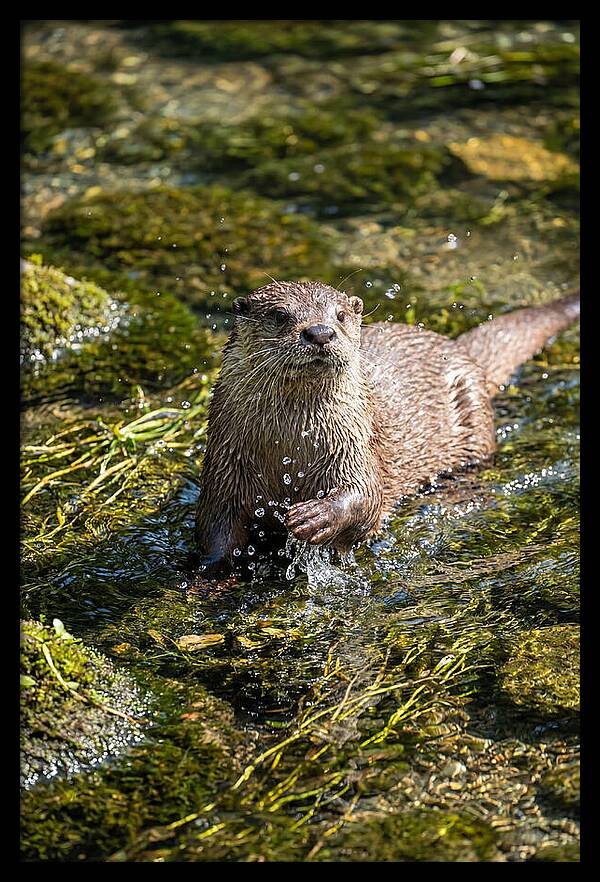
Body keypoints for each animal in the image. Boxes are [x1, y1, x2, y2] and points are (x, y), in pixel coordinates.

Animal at [194, 281, 579, 574]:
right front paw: (209, 574)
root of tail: (458, 349)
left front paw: (316, 516)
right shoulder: (224, 466)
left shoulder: (356, 445)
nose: (320, 332)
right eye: (279, 315)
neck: (290, 449)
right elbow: (215, 528)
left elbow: (367, 496)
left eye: (340, 315)